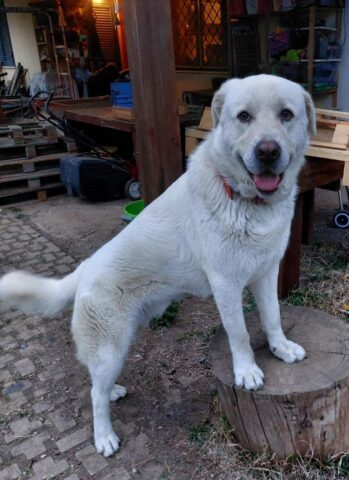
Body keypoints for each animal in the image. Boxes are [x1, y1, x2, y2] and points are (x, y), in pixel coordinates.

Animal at [0, 75, 314, 458]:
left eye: (286, 114)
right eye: (244, 117)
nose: (267, 151)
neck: (247, 202)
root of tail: (83, 270)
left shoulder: (266, 274)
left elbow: (273, 318)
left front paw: (281, 349)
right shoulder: (226, 285)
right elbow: (239, 333)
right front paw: (246, 371)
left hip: (117, 344)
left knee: (97, 383)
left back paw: (113, 390)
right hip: (112, 347)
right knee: (93, 395)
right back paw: (104, 437)